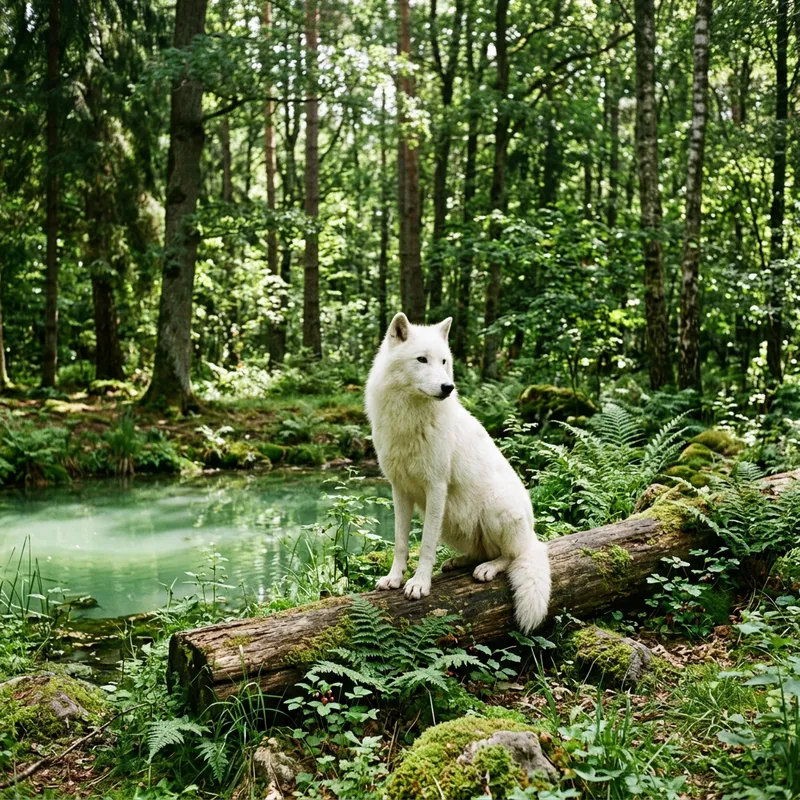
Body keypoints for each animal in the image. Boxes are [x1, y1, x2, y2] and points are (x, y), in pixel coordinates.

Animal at [364, 312, 551, 633]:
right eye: (422, 359)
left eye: (444, 362)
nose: (447, 387)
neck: (410, 419)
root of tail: (532, 535)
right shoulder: (399, 490)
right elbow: (401, 542)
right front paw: (394, 578)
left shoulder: (436, 488)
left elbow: (426, 545)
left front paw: (419, 584)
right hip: (452, 523)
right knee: (482, 551)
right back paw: (459, 563)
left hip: (495, 509)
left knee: (511, 556)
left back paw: (487, 568)